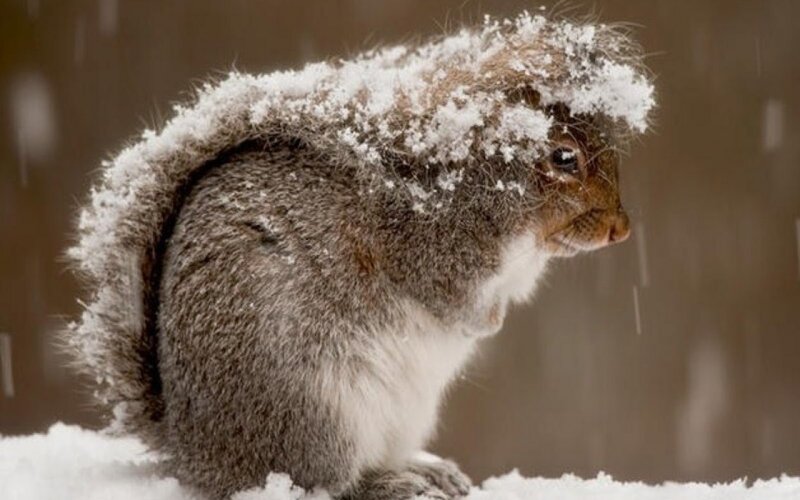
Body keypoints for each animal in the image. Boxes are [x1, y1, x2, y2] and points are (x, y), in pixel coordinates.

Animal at [66, 12, 654, 500]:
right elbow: (450, 300)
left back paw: (424, 470)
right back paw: (389, 484)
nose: (621, 229)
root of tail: (197, 454)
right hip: (316, 412)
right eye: (564, 157)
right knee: (327, 482)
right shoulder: (429, 252)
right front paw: (485, 322)